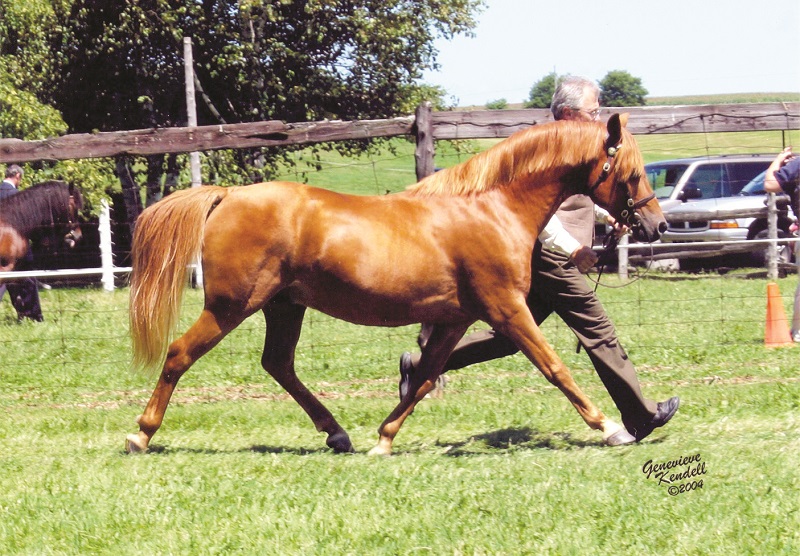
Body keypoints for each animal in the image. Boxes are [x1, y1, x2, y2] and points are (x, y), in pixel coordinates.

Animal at [125, 114, 667, 455]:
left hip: (283, 306)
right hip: (230, 305)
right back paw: (140, 436)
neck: (492, 209)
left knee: (278, 364)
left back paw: (338, 435)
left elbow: (425, 377)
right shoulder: (508, 309)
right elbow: (556, 368)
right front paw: (612, 428)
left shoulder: (457, 319)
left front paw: (384, 439)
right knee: (180, 354)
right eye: (632, 173)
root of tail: (228, 195)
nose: (657, 225)